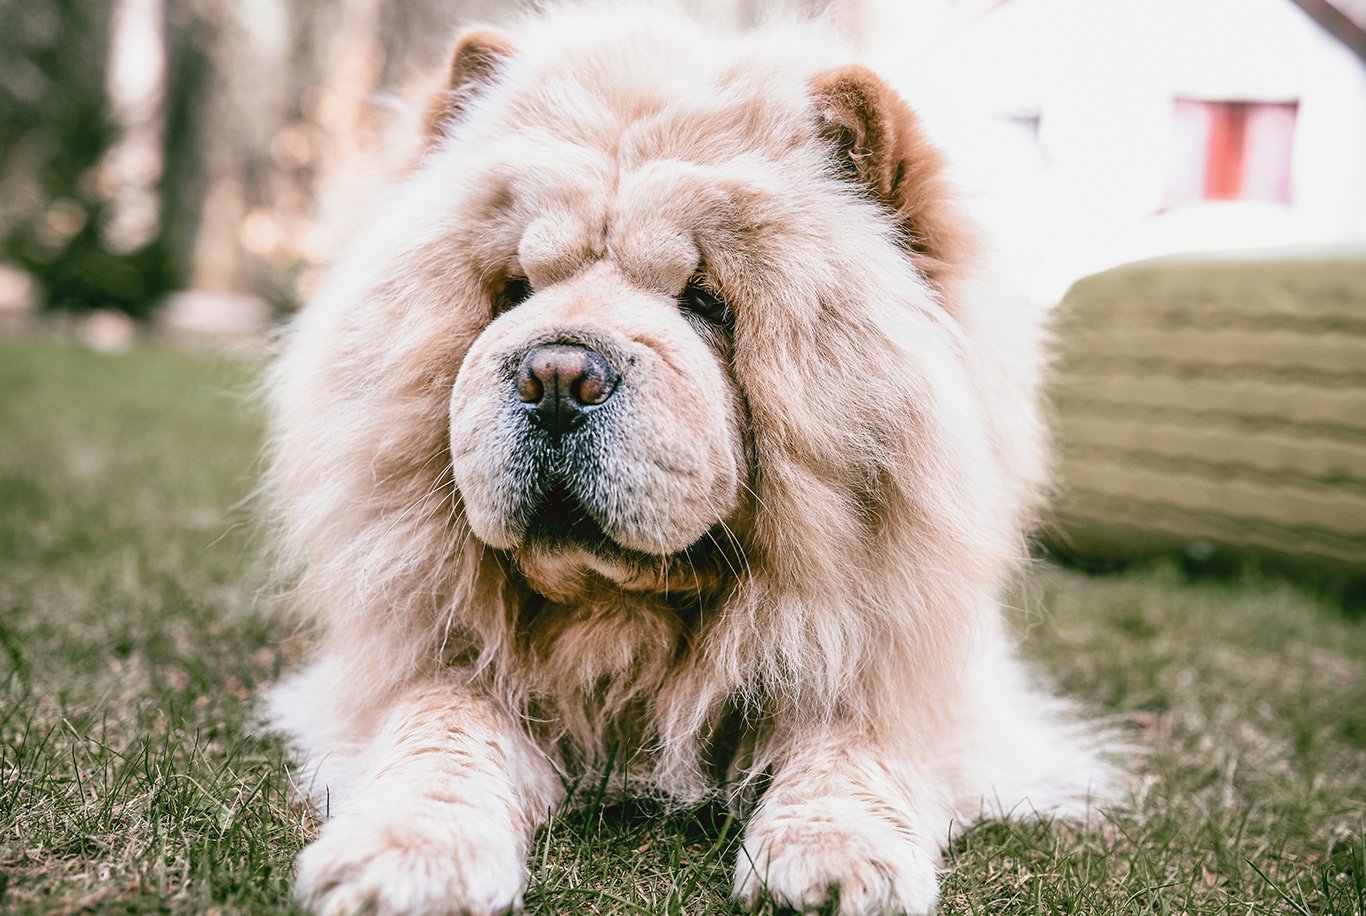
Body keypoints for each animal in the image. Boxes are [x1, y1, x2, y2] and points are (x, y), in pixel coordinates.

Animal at [263, 3, 1109, 911]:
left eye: (706, 302)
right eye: (516, 290)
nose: (556, 375)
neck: (624, 620)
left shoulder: (902, 672)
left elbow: (856, 740)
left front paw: (835, 860)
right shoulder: (434, 660)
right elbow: (439, 727)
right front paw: (408, 857)